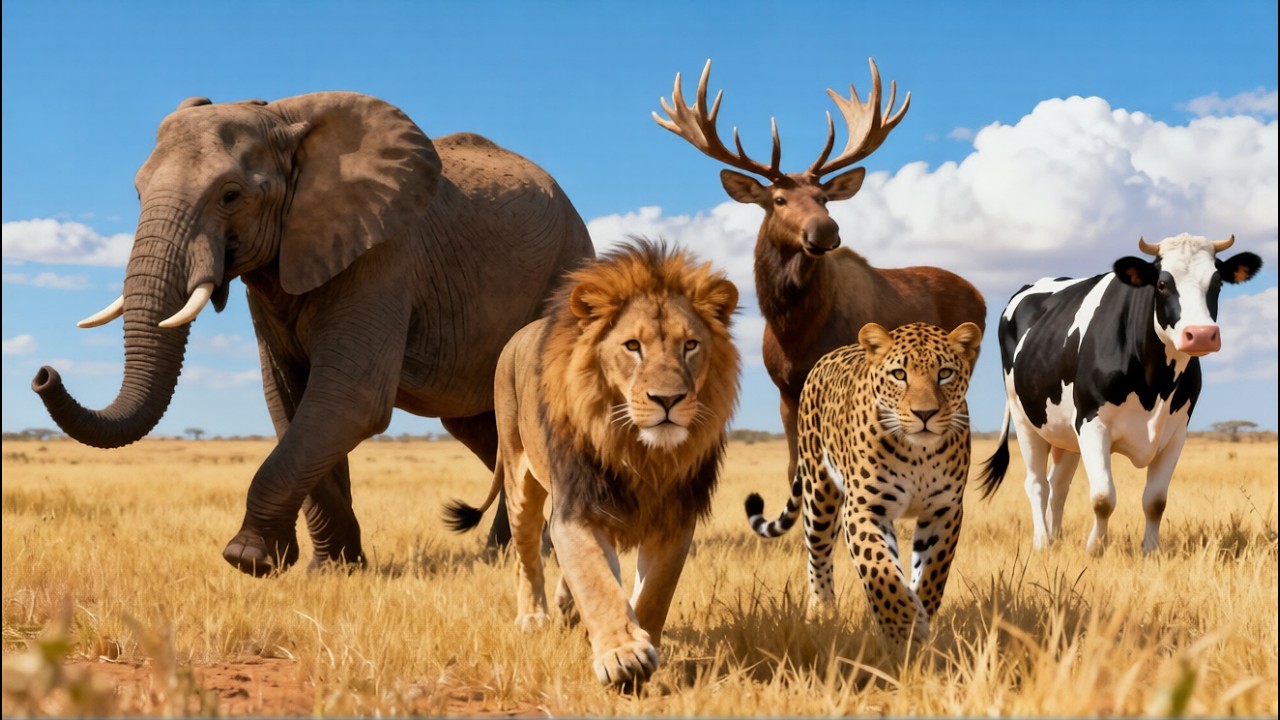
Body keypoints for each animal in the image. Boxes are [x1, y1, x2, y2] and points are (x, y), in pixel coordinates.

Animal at [32, 91, 596, 577]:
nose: (43, 374)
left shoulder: (384, 255)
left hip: (565, 271)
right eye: (137, 191)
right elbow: (290, 399)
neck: (284, 121)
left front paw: (246, 559)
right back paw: (501, 554)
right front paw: (332, 569)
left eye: (231, 195)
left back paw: (543, 552)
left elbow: (350, 399)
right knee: (485, 430)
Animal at [445, 238, 740, 688]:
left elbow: (654, 592)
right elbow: (595, 579)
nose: (668, 400)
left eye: (690, 345)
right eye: (633, 346)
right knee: (527, 554)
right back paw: (533, 616)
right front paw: (623, 655)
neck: (641, 452)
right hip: (519, 481)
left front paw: (637, 636)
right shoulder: (578, 508)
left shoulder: (676, 517)